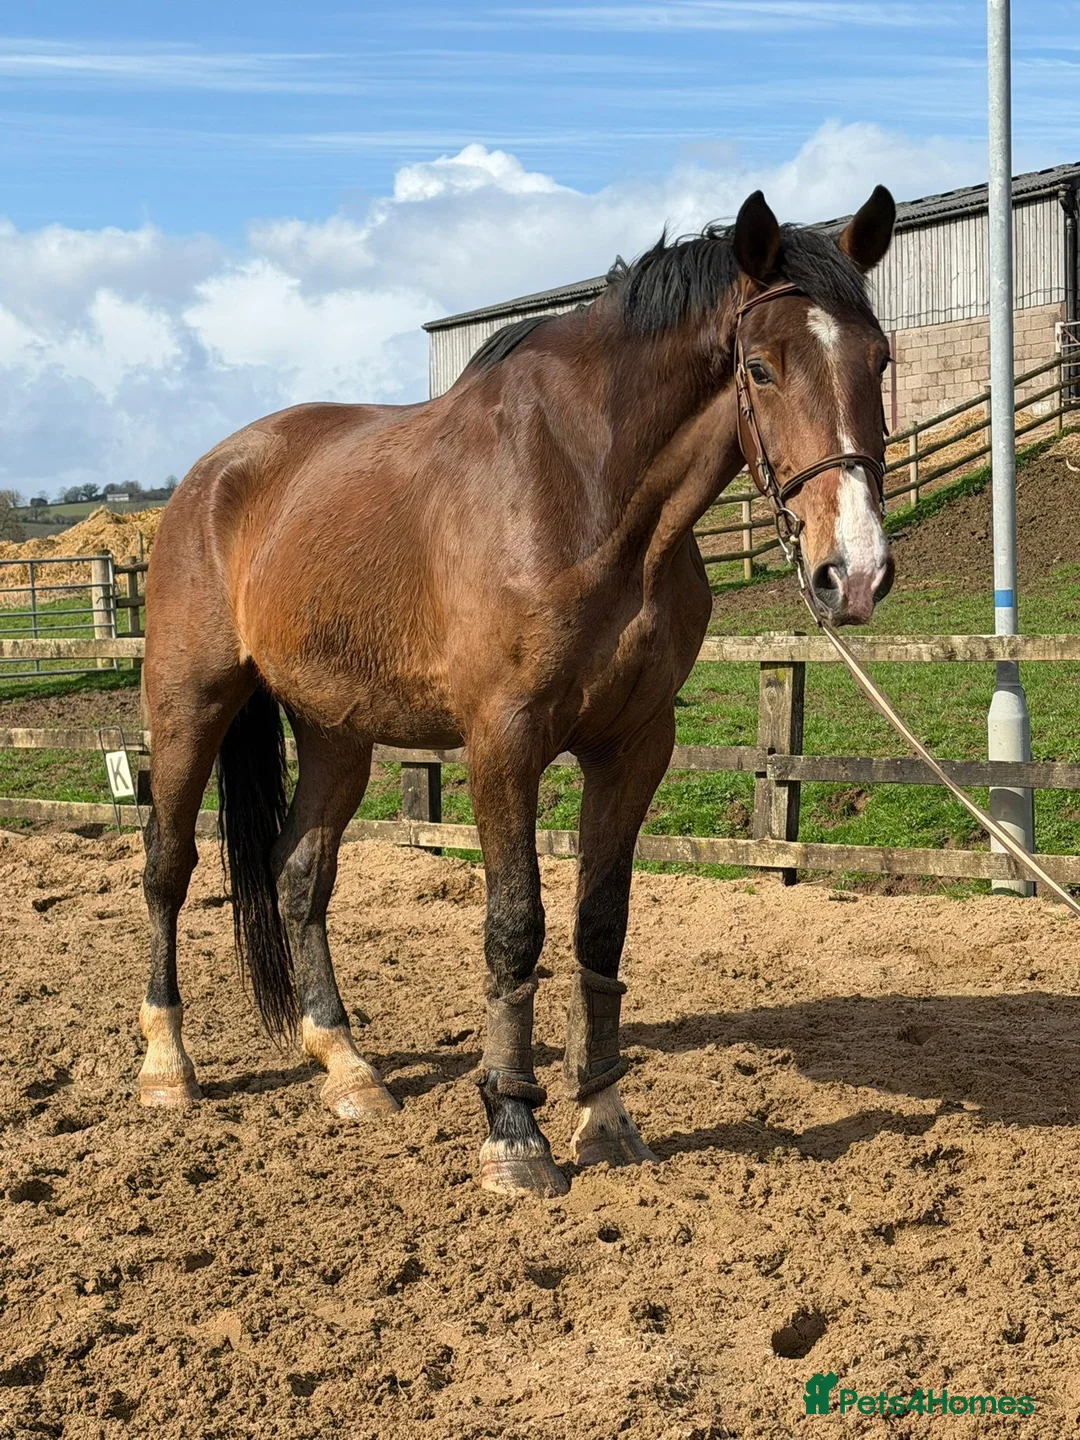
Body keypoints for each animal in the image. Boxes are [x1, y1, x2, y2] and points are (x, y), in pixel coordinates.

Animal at [138, 186, 896, 1198]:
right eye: (762, 367)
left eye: (879, 358)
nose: (854, 572)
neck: (586, 495)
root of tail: (210, 476)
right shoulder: (504, 743)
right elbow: (515, 928)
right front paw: (514, 1131)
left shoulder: (634, 746)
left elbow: (599, 929)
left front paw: (604, 1117)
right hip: (189, 704)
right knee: (168, 865)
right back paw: (166, 1065)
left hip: (337, 730)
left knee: (299, 875)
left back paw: (346, 1066)